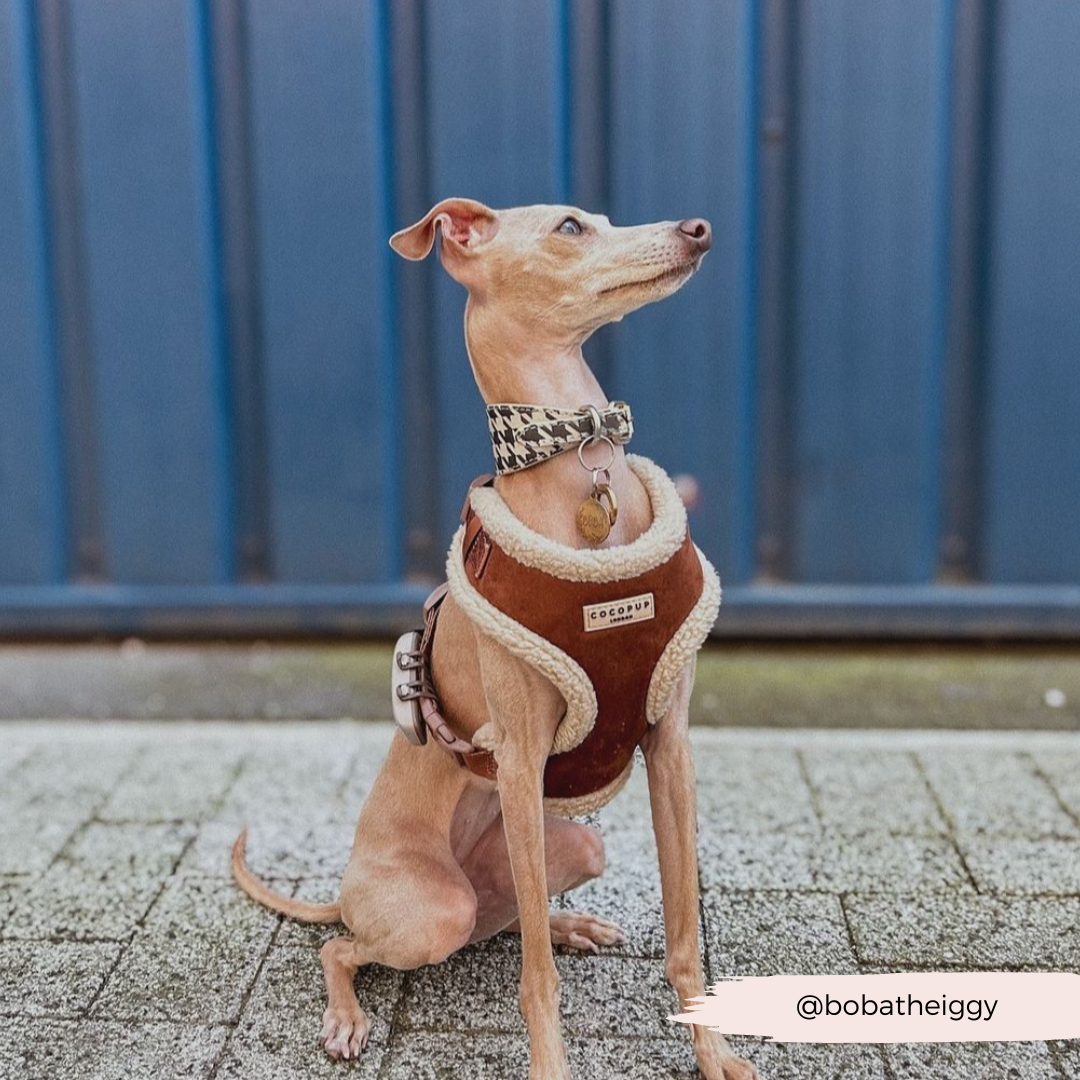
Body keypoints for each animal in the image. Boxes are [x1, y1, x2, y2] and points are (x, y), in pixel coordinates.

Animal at [234, 203, 760, 1080]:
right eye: (572, 226)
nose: (698, 228)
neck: (582, 467)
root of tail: (344, 891)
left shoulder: (671, 742)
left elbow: (685, 936)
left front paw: (713, 1052)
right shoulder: (516, 760)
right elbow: (536, 981)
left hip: (572, 845)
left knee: (513, 917)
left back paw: (571, 925)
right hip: (433, 908)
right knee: (347, 947)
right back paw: (346, 1017)